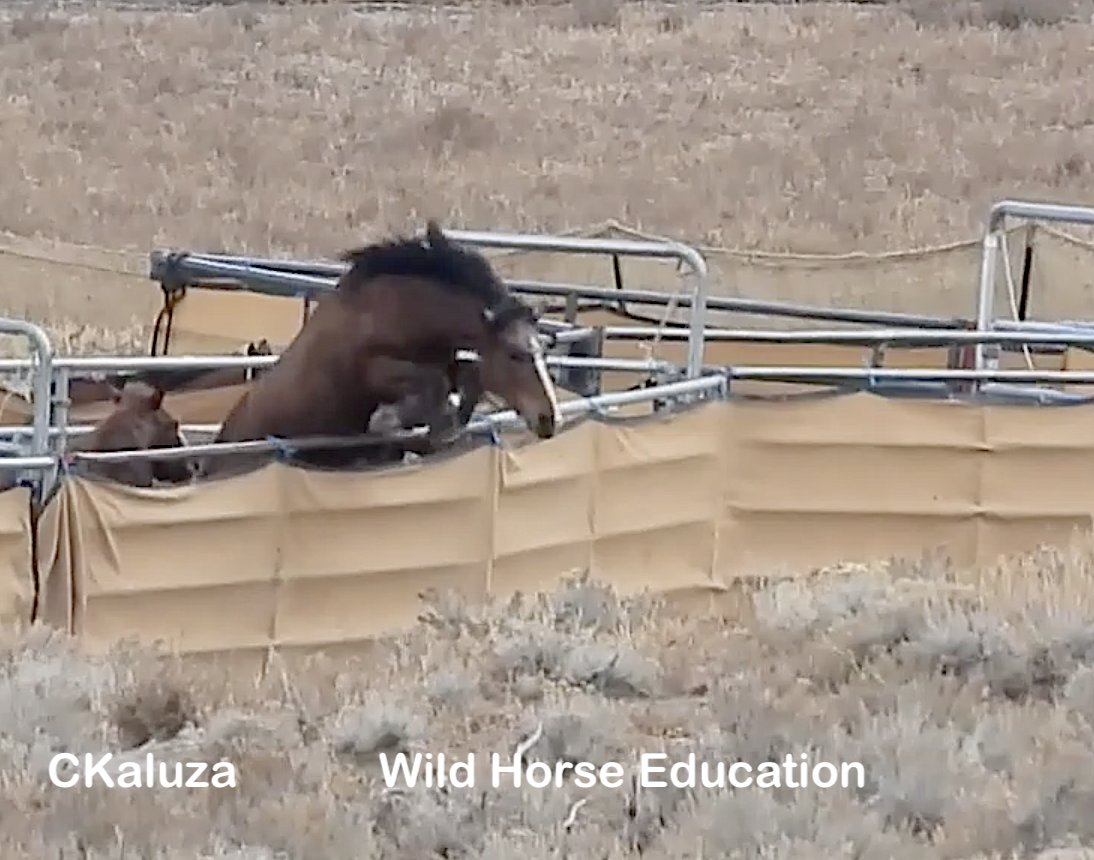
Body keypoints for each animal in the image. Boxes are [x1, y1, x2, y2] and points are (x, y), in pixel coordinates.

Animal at [201, 220, 561, 477]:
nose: (549, 418)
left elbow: (464, 378)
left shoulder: (447, 360)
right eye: (514, 353)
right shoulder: (374, 370)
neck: (400, 307)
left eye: (542, 349)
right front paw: (404, 423)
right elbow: (433, 385)